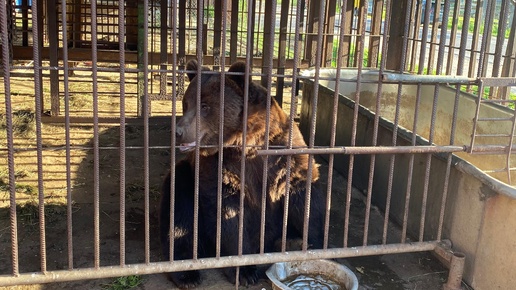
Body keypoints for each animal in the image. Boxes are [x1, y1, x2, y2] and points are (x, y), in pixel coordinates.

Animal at [159, 59, 324, 288]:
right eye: (186, 104)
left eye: (205, 106)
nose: (178, 131)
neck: (247, 145)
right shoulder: (220, 170)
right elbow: (228, 215)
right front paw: (244, 271)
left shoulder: (285, 158)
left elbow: (304, 199)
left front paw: (312, 247)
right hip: (185, 179)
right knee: (180, 214)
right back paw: (187, 274)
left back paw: (290, 241)